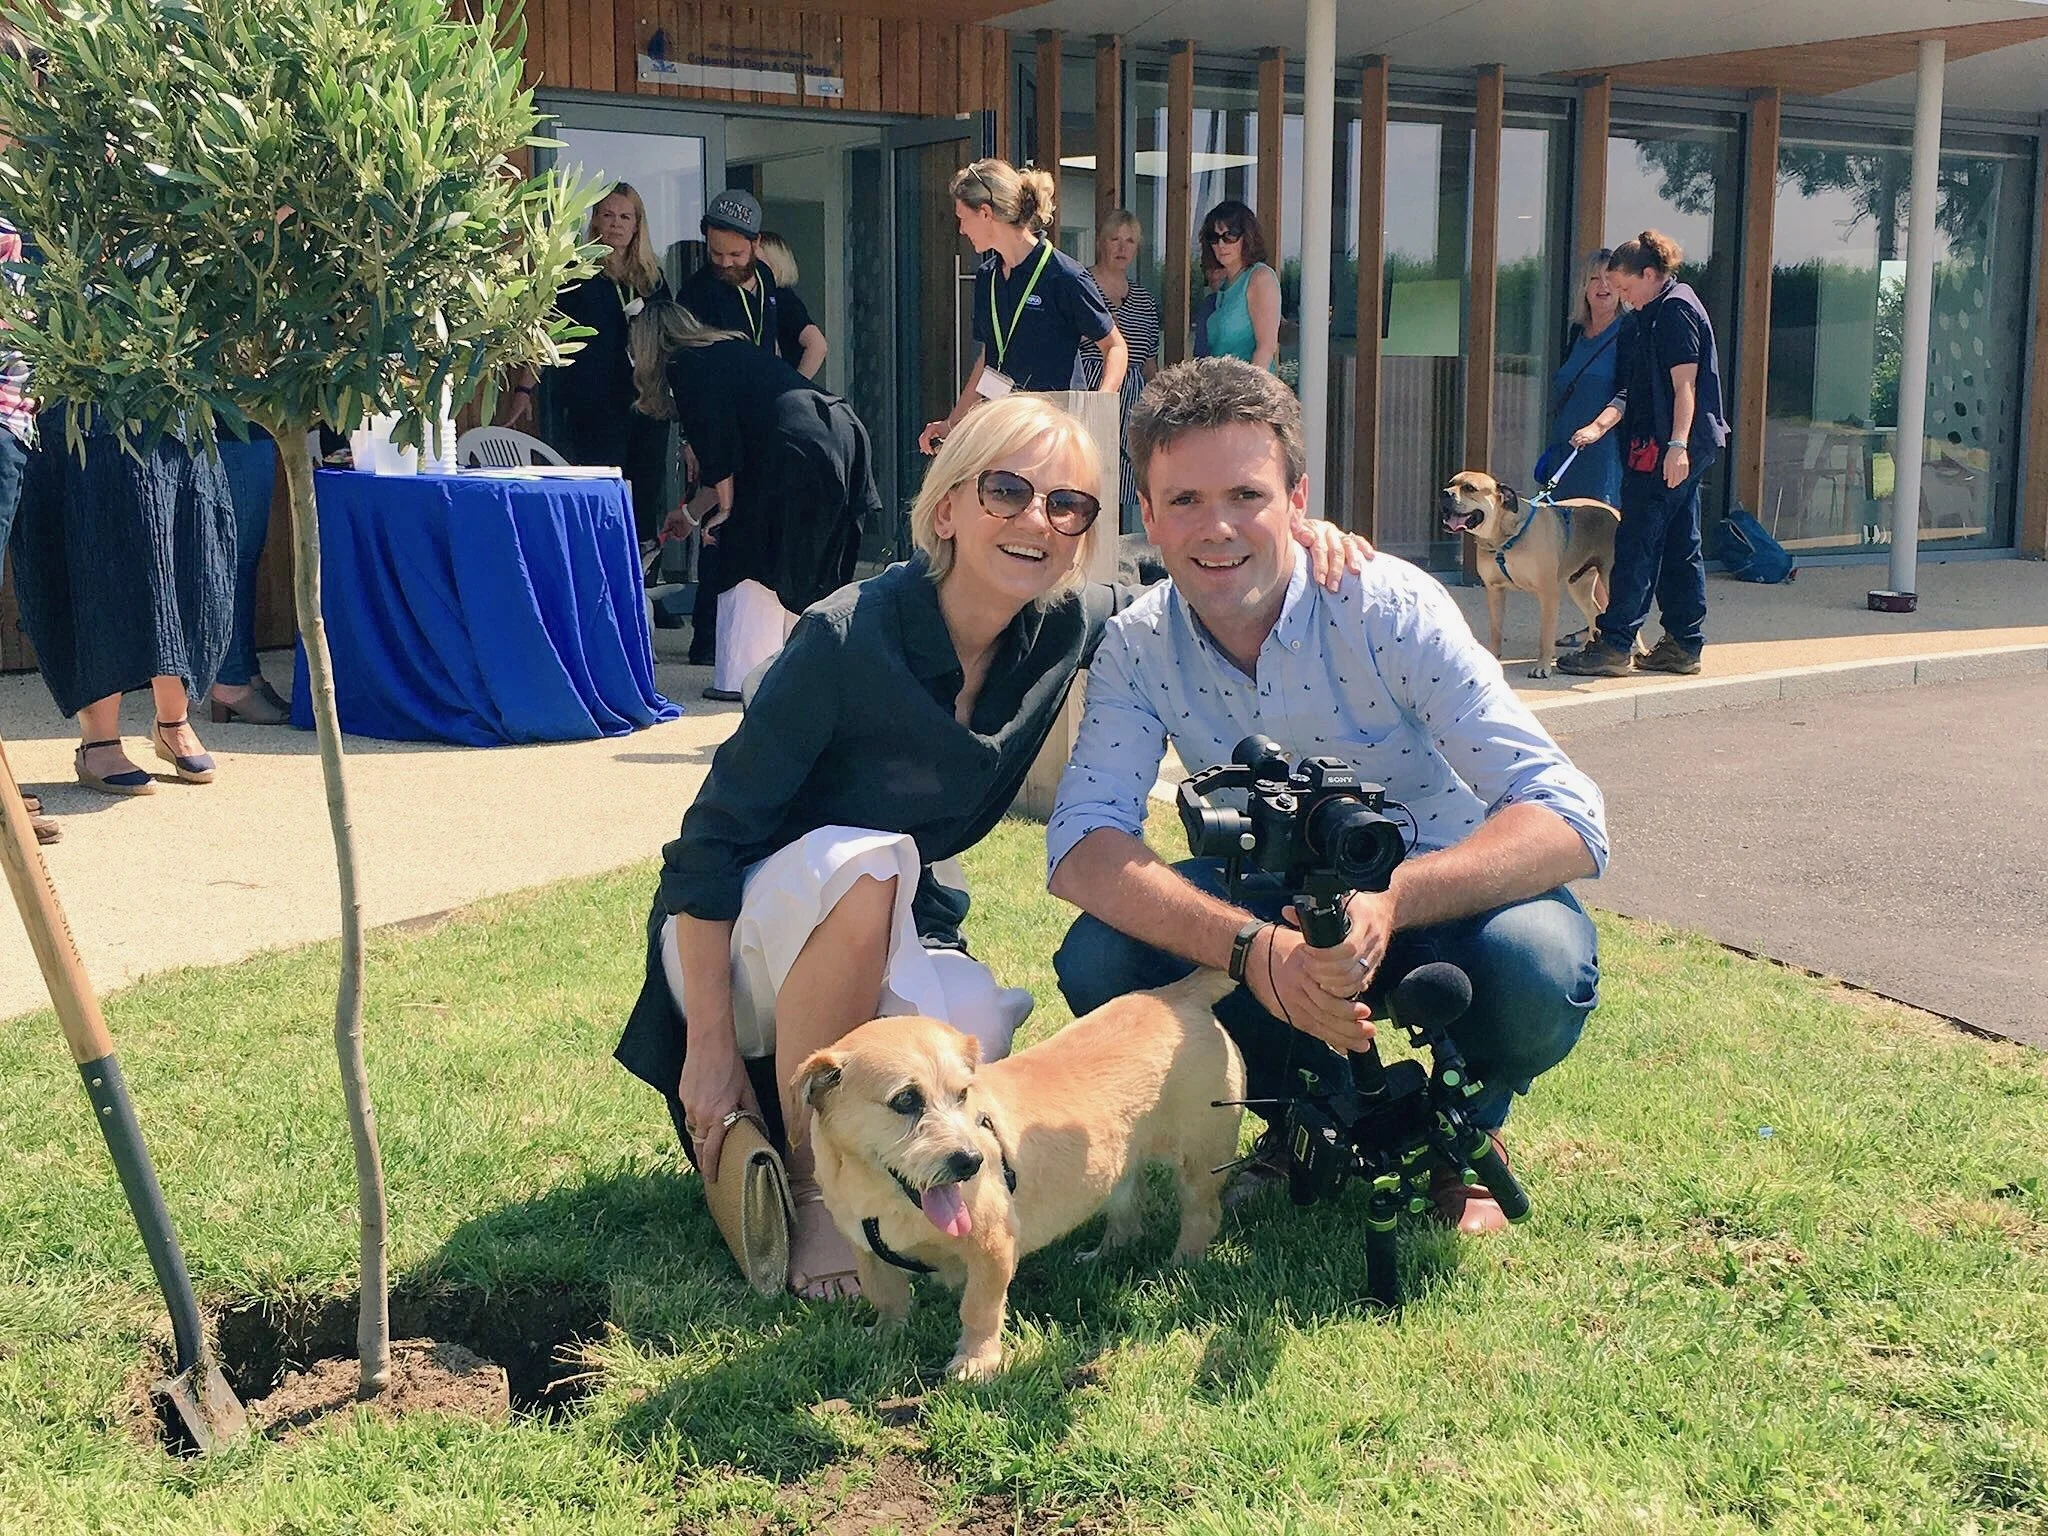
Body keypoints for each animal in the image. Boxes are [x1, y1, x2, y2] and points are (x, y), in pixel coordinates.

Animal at [796, 970, 1245, 1381]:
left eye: (962, 1094)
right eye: (905, 1099)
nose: (972, 1161)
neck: (881, 1196)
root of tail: (1180, 993)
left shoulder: (992, 1247)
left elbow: (978, 1308)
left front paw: (975, 1361)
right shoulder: (866, 1249)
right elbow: (886, 1295)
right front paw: (885, 1335)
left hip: (1199, 1160)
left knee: (1201, 1216)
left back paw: (1180, 1265)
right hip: (1118, 1166)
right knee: (1127, 1212)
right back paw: (1103, 1254)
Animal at [1440, 470, 1631, 677]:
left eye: (1470, 488)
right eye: (1450, 483)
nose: (1444, 493)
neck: (1503, 540)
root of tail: (1615, 512)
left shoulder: (1548, 594)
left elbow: (1545, 636)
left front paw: (1543, 666)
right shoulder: (1494, 590)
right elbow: (1496, 629)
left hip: (1610, 581)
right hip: (1579, 586)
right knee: (1594, 613)